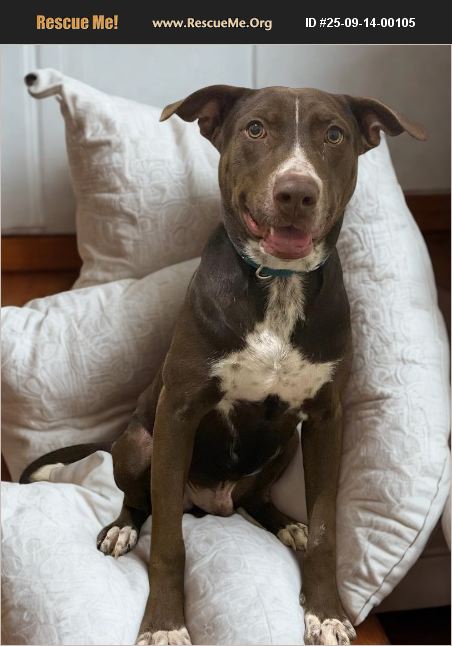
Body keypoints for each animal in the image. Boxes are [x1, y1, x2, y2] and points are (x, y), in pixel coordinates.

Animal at [21, 85, 425, 645]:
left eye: (334, 134)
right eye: (255, 128)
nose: (296, 192)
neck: (278, 281)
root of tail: (213, 503)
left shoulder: (326, 419)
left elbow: (327, 529)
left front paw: (326, 611)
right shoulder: (178, 413)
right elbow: (168, 541)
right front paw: (165, 623)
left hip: (284, 446)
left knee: (255, 497)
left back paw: (284, 523)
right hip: (138, 442)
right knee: (141, 499)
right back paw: (123, 527)